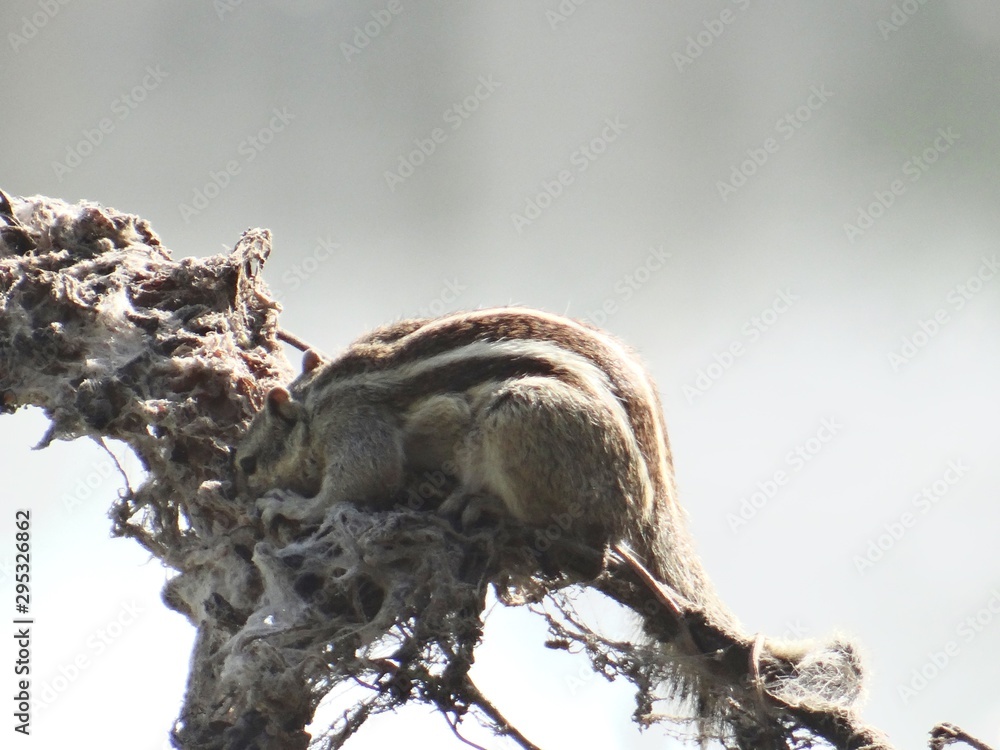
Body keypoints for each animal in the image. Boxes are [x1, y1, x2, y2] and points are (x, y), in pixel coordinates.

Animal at [235, 307, 860, 720]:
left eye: (247, 461)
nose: (233, 482)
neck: (318, 401)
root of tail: (650, 490)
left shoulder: (358, 432)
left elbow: (359, 482)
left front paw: (291, 504)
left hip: (521, 416)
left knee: (591, 549)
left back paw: (485, 506)